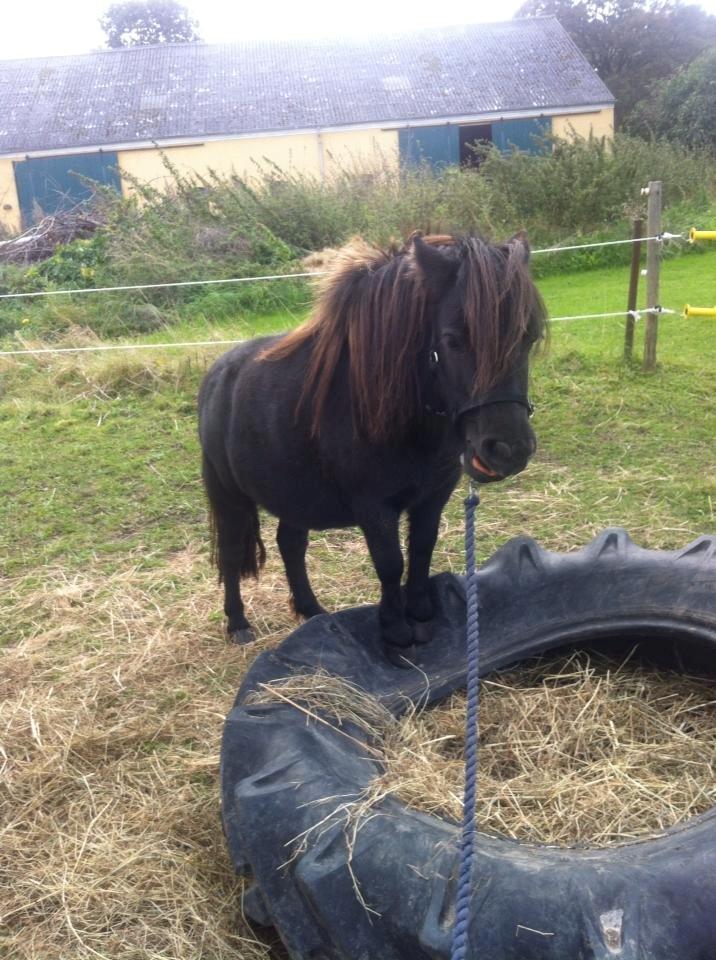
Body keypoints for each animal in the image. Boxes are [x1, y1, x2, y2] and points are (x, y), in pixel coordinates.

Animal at [198, 232, 546, 658]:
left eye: (528, 337)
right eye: (452, 340)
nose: (509, 450)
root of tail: (219, 373)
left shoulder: (434, 495)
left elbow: (422, 547)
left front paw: (421, 611)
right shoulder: (374, 507)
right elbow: (390, 562)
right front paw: (396, 630)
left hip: (292, 494)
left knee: (290, 545)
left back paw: (311, 610)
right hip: (228, 495)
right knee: (232, 554)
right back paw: (238, 623)